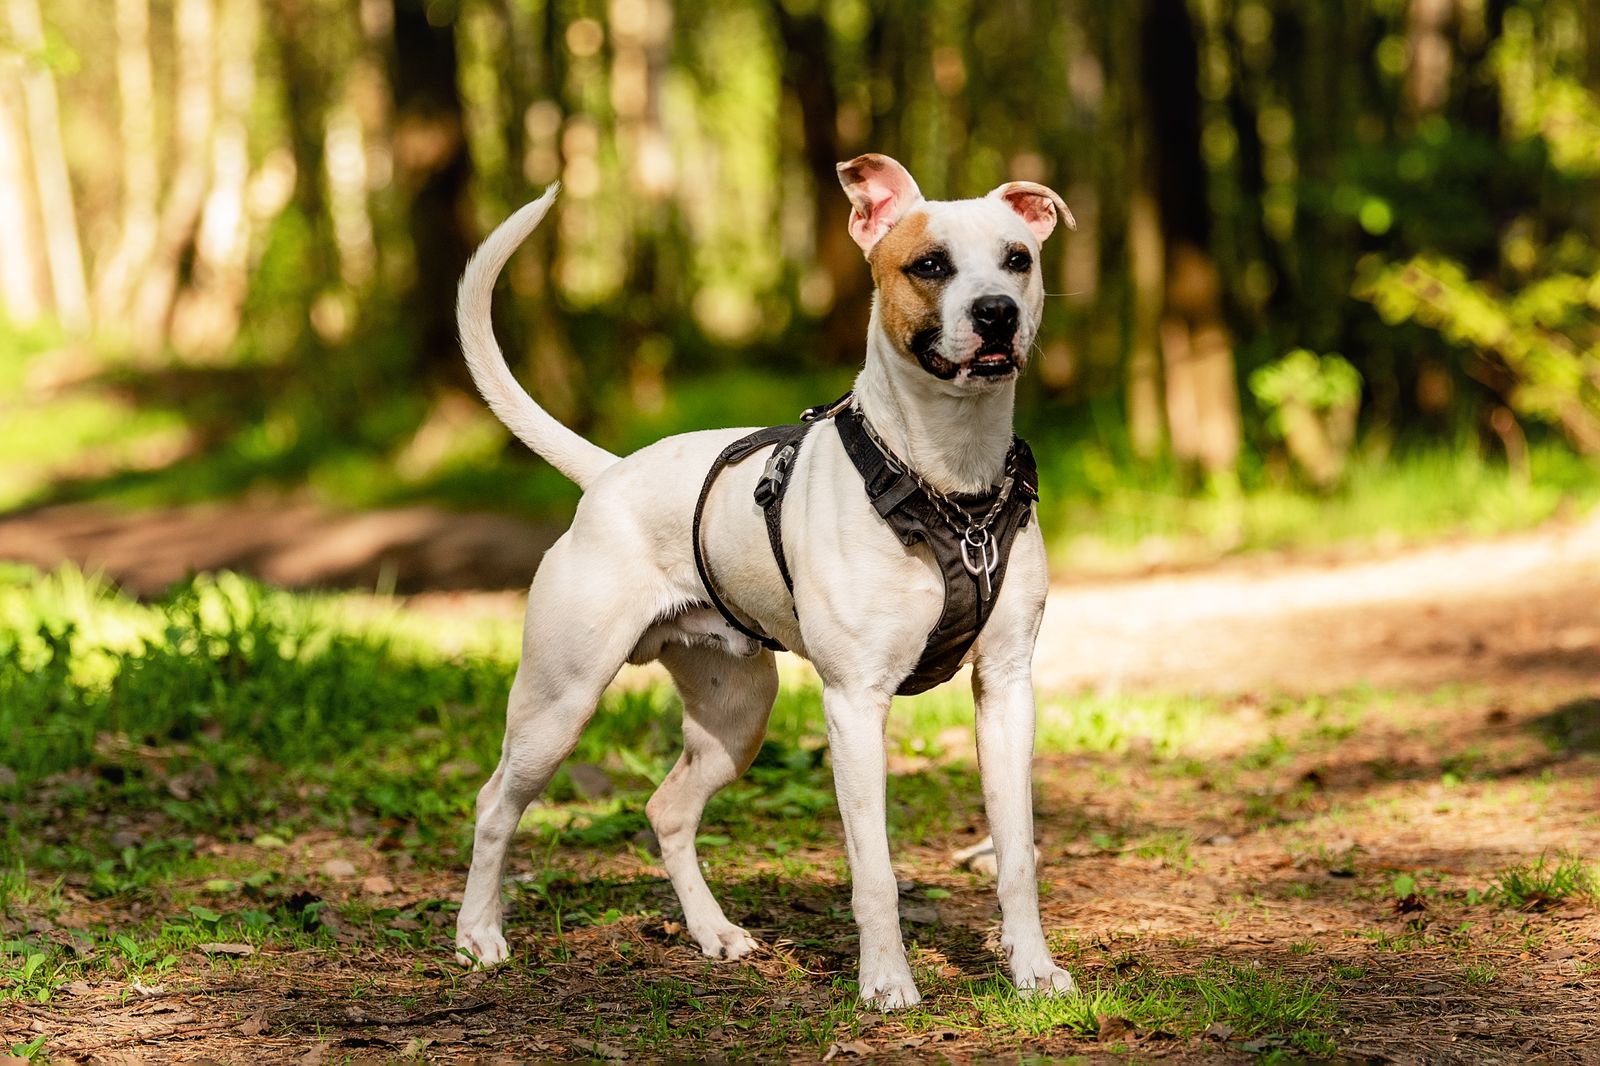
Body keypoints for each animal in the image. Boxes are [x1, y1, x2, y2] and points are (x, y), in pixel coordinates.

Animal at [451, 151, 1075, 1005]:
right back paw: (478, 934)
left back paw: (714, 933)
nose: (996, 314)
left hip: (735, 718)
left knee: (668, 810)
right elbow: (874, 872)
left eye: (1019, 259)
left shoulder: (1007, 690)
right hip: (558, 703)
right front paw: (886, 982)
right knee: (494, 804)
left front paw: (1033, 969)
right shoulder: (855, 704)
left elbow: (1016, 855)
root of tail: (609, 474)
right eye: (929, 265)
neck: (949, 486)